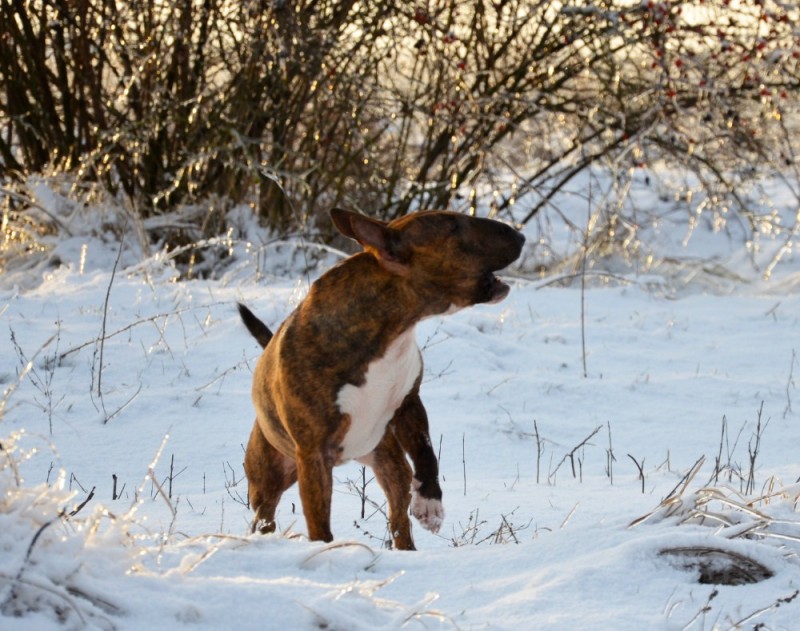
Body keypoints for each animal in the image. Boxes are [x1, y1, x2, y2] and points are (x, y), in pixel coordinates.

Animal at [239, 210, 524, 552]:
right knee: (264, 515)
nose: (519, 235)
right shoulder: (313, 454)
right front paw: (325, 548)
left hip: (387, 456)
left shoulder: (409, 403)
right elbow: (318, 520)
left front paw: (429, 504)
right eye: (453, 225)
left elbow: (427, 452)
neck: (391, 330)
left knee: (398, 514)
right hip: (269, 475)